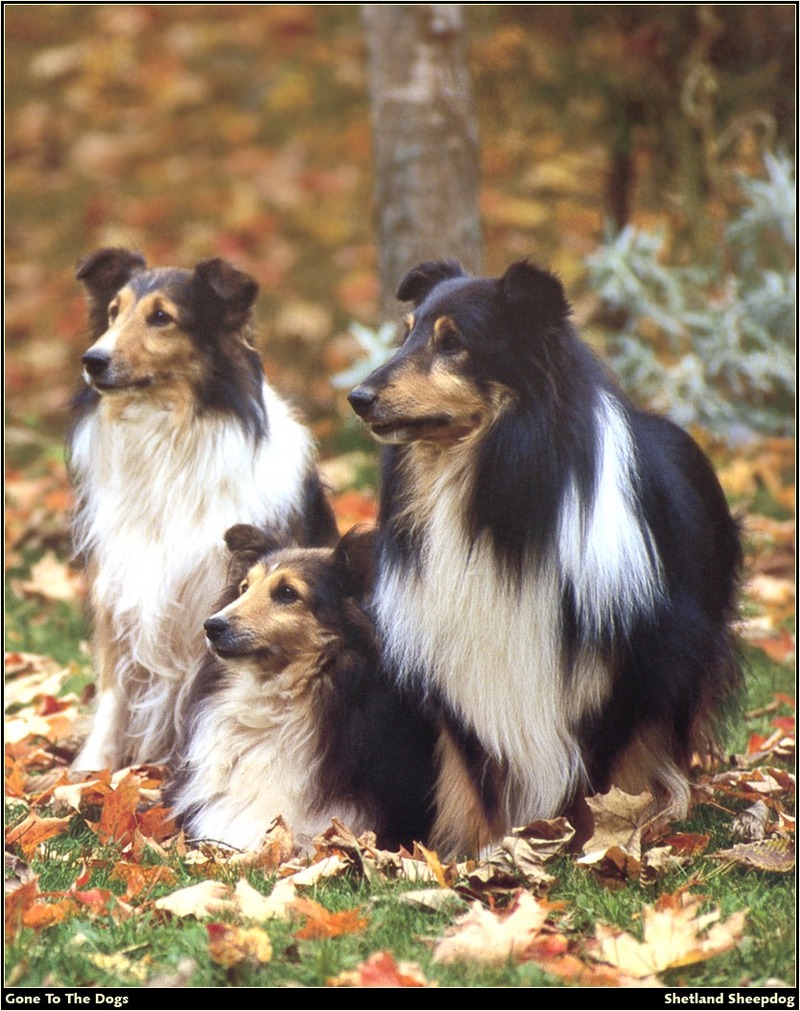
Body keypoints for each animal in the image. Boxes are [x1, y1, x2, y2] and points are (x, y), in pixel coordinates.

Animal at [64, 248, 335, 768]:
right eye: (113, 313)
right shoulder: (121, 592)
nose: (92, 360)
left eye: (161, 318)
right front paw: (90, 771)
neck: (168, 434)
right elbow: (112, 691)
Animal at [349, 258, 744, 853]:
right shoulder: (455, 660)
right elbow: (480, 777)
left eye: (453, 343)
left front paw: (597, 841)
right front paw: (482, 852)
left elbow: (604, 769)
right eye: (407, 332)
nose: (357, 397)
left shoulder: (626, 663)